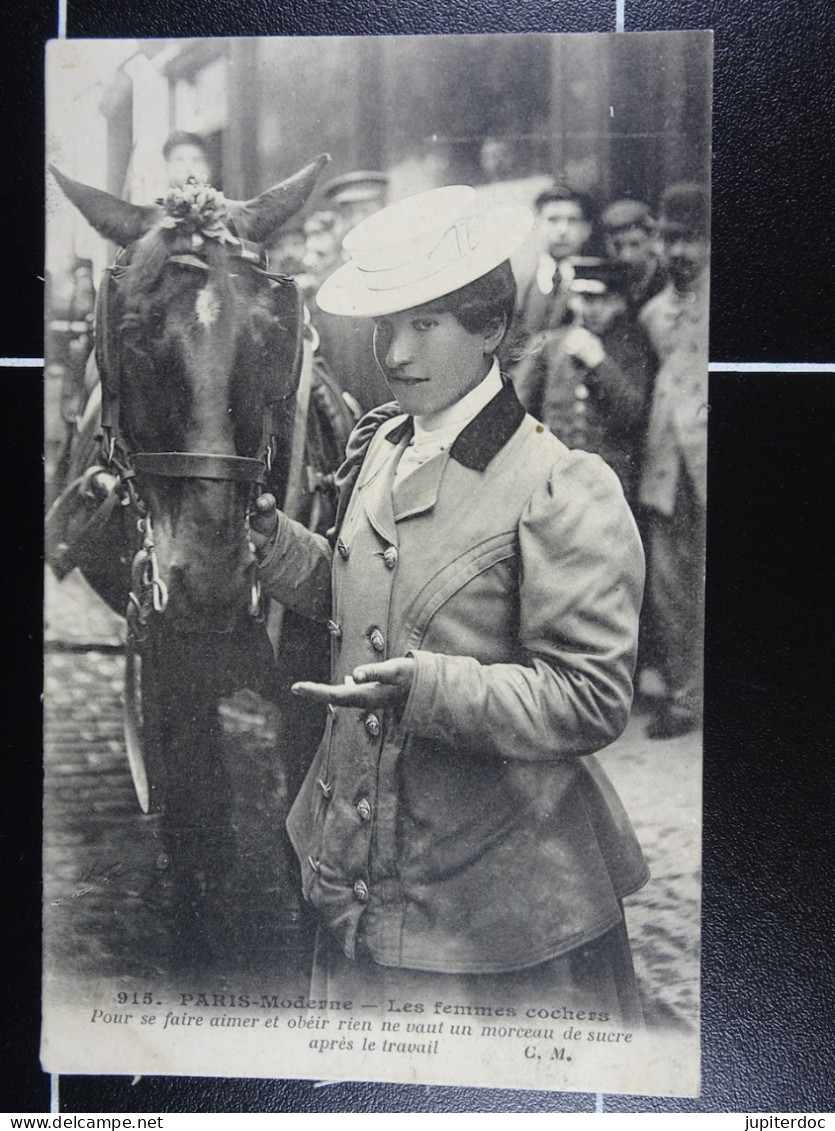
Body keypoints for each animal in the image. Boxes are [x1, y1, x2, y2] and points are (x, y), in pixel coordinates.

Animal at [46, 154, 350, 972]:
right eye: (127, 334)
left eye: (276, 334)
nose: (211, 585)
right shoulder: (166, 663)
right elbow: (197, 828)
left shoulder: (312, 684)